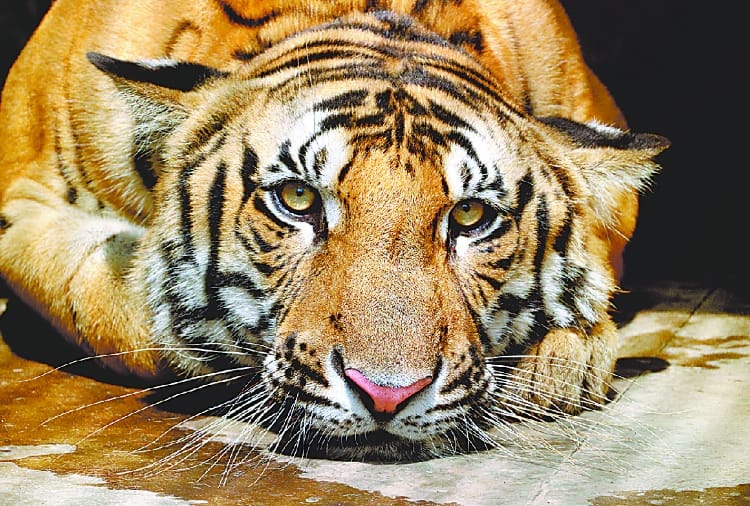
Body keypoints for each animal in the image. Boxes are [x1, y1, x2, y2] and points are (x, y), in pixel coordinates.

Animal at [0, 0, 668, 462]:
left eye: (470, 216)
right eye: (297, 199)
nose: (388, 395)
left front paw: (564, 356)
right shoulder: (23, 206)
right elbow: (114, 298)